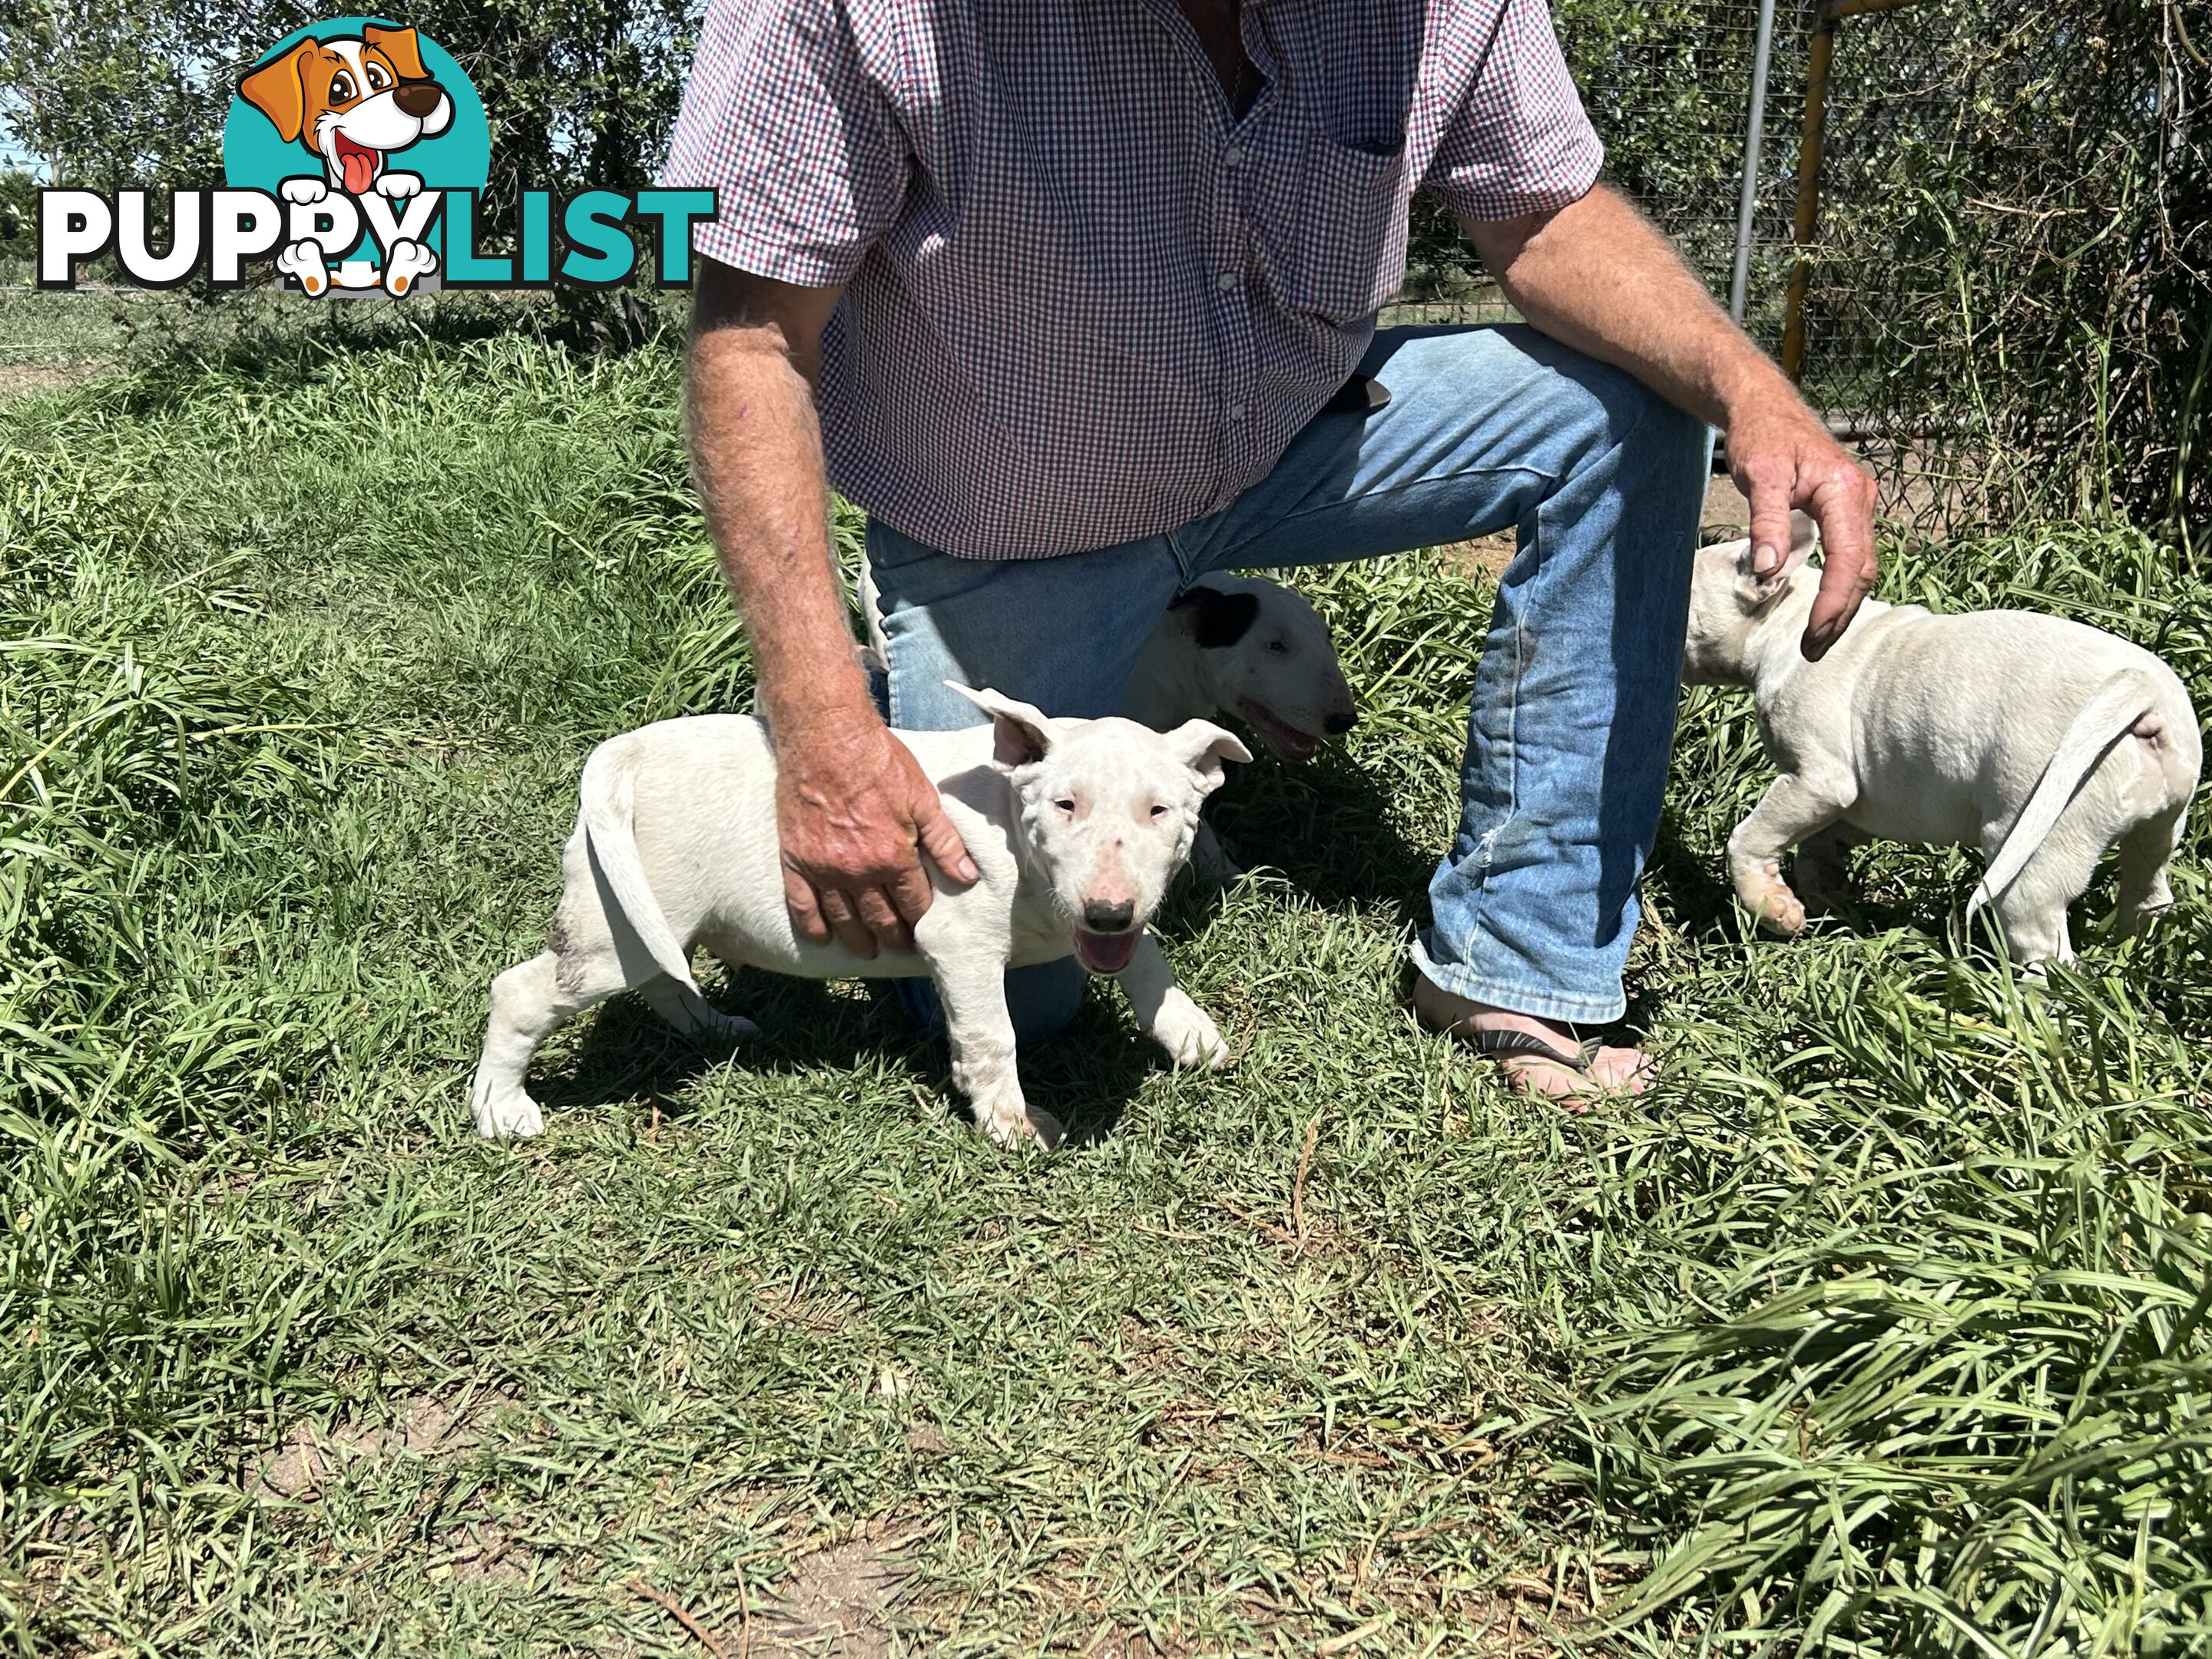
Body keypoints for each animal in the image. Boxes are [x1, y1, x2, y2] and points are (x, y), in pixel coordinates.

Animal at [469, 681, 1256, 1150]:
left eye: (1160, 811)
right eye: (1066, 805)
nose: (1108, 910)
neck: (1011, 826)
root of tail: (625, 751)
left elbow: (1147, 963)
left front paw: (1191, 1036)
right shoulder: (959, 942)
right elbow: (992, 1036)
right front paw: (1012, 1124)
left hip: (652, 917)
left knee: (666, 977)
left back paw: (715, 1026)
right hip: (616, 927)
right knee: (521, 992)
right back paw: (502, 1110)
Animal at [1690, 513, 2194, 969]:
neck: (1788, 622)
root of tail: (2139, 690)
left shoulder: (1819, 781)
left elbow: (1750, 837)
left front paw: (1774, 908)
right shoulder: (1860, 803)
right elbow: (1819, 846)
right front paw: (1827, 900)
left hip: (2035, 845)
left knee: (2045, 944)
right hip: (2160, 824)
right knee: (2148, 888)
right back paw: (2130, 953)